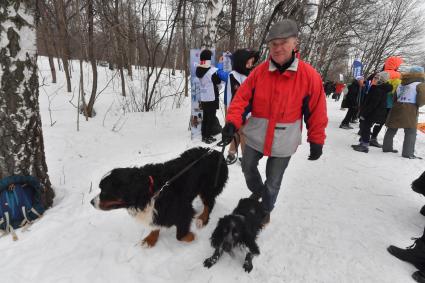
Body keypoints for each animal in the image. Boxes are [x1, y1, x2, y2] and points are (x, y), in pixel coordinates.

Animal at [90, 148, 227, 247]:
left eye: (104, 191)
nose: (91, 202)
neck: (151, 191)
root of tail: (217, 152)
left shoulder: (183, 210)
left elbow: (180, 236)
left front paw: (192, 236)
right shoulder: (157, 212)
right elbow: (155, 225)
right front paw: (150, 239)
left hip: (208, 187)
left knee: (209, 204)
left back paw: (202, 219)